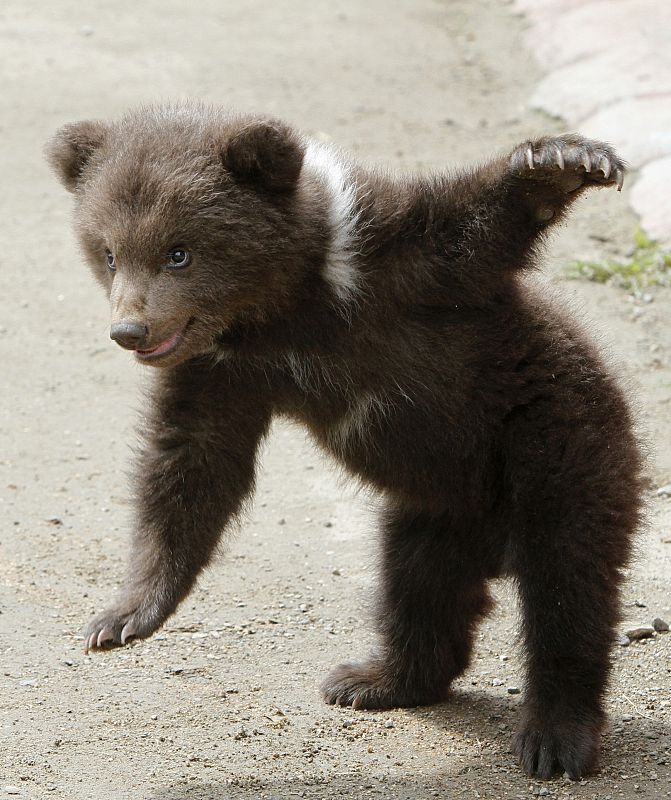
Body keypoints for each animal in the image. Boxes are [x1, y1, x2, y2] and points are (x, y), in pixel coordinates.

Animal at [46, 104, 643, 781]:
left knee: (568, 587)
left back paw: (554, 737)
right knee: (418, 587)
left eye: (180, 252)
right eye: (109, 252)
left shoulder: (392, 269)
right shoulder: (226, 373)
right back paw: (376, 679)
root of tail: (497, 539)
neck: (284, 312)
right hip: (436, 511)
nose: (130, 329)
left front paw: (568, 159)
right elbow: (191, 463)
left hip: (555, 449)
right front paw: (122, 616)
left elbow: (471, 225)